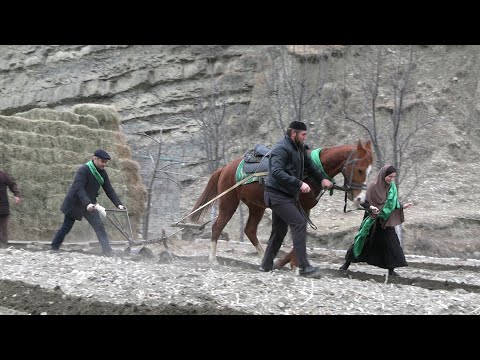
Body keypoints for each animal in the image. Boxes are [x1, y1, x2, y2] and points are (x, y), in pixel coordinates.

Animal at [189, 139, 374, 268]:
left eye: (370, 170)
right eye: (359, 169)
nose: (361, 199)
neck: (309, 172)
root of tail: (225, 168)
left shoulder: (305, 209)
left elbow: (300, 234)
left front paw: (289, 263)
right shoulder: (298, 208)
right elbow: (298, 234)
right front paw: (294, 264)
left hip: (256, 207)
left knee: (250, 230)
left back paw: (263, 258)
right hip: (229, 202)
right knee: (217, 227)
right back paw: (213, 259)